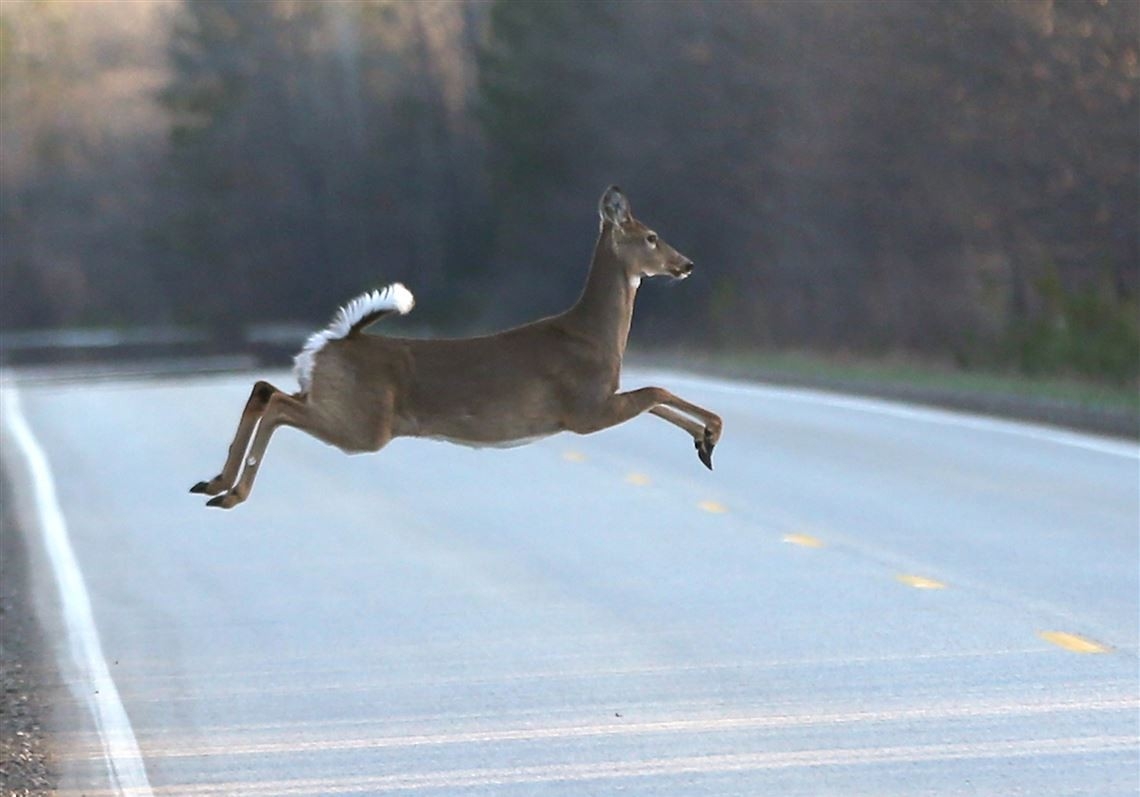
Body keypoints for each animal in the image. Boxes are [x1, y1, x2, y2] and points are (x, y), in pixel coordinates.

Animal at [186, 185, 720, 510]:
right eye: (651, 236)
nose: (688, 264)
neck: (594, 336)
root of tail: (335, 340)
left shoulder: (599, 403)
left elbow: (655, 397)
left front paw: (704, 443)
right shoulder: (585, 409)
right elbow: (655, 392)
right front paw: (711, 435)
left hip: (333, 399)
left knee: (264, 389)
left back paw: (213, 483)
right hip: (365, 424)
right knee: (276, 404)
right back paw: (229, 493)